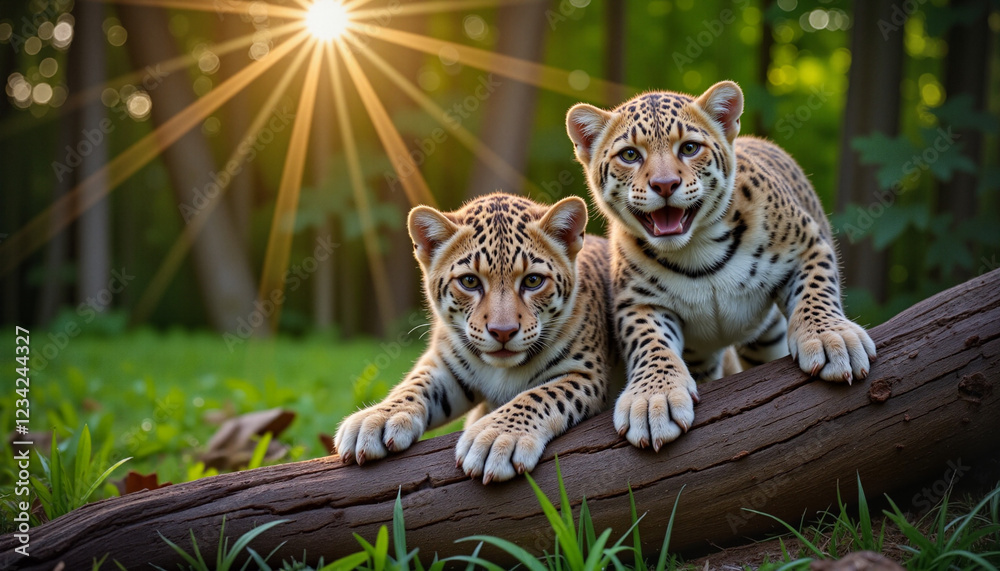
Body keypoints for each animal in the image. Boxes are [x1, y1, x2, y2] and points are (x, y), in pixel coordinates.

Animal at [334, 192, 617, 484]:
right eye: (469, 282)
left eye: (533, 281)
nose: (503, 331)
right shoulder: (446, 366)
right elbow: (414, 384)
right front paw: (375, 418)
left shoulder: (587, 374)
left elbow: (540, 395)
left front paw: (497, 436)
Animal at [565, 80, 877, 451]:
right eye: (629, 155)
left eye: (689, 148)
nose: (665, 185)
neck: (696, 252)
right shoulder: (638, 303)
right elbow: (650, 344)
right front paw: (653, 399)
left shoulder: (808, 245)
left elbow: (816, 292)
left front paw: (833, 337)